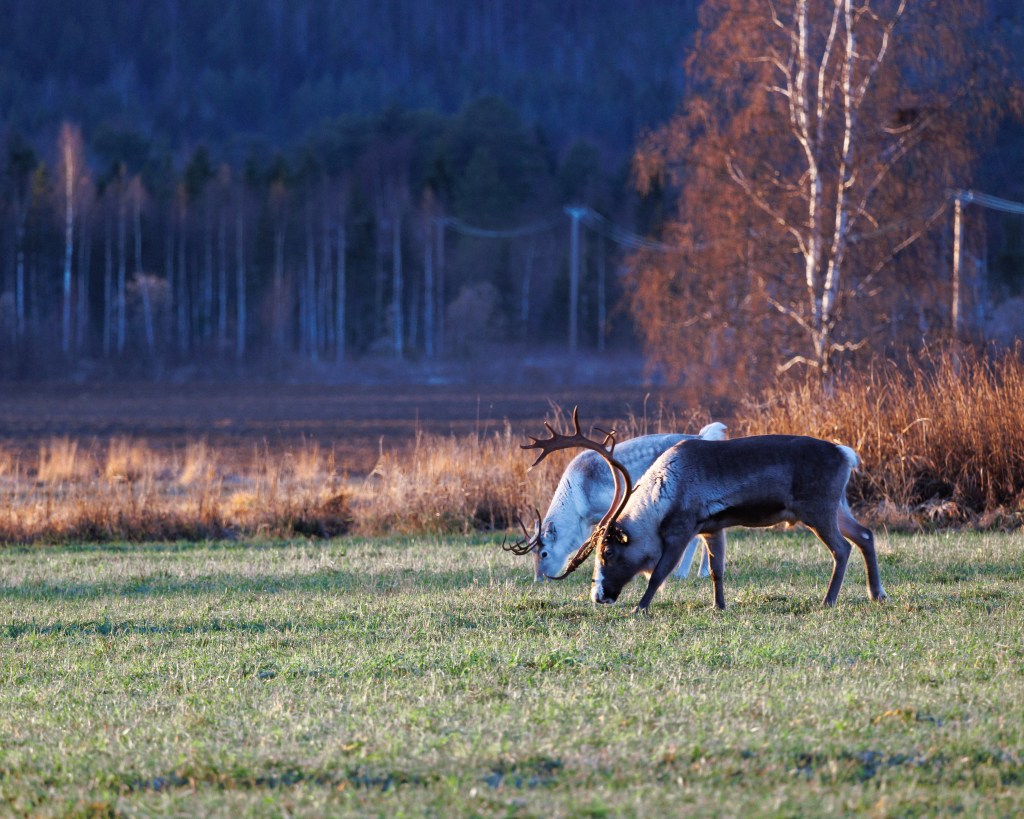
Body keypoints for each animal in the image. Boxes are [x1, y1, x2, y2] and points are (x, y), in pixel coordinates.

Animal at [503, 415, 727, 582]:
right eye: (533, 553)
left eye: (544, 553)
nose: (539, 578)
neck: (578, 506)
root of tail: (705, 437)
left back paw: (686, 573)